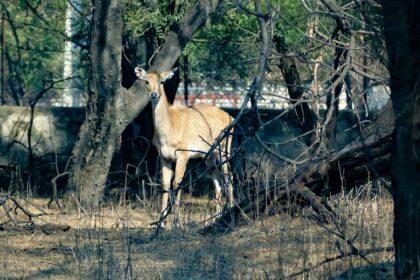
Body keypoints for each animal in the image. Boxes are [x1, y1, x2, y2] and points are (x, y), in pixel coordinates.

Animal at [135, 66, 233, 226]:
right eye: (146, 81)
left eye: (162, 81)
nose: (154, 94)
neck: (169, 127)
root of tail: (231, 117)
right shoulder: (164, 157)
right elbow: (165, 184)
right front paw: (161, 222)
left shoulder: (183, 155)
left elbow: (177, 183)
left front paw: (177, 222)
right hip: (209, 156)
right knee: (217, 178)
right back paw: (215, 218)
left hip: (224, 149)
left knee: (228, 176)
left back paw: (229, 212)